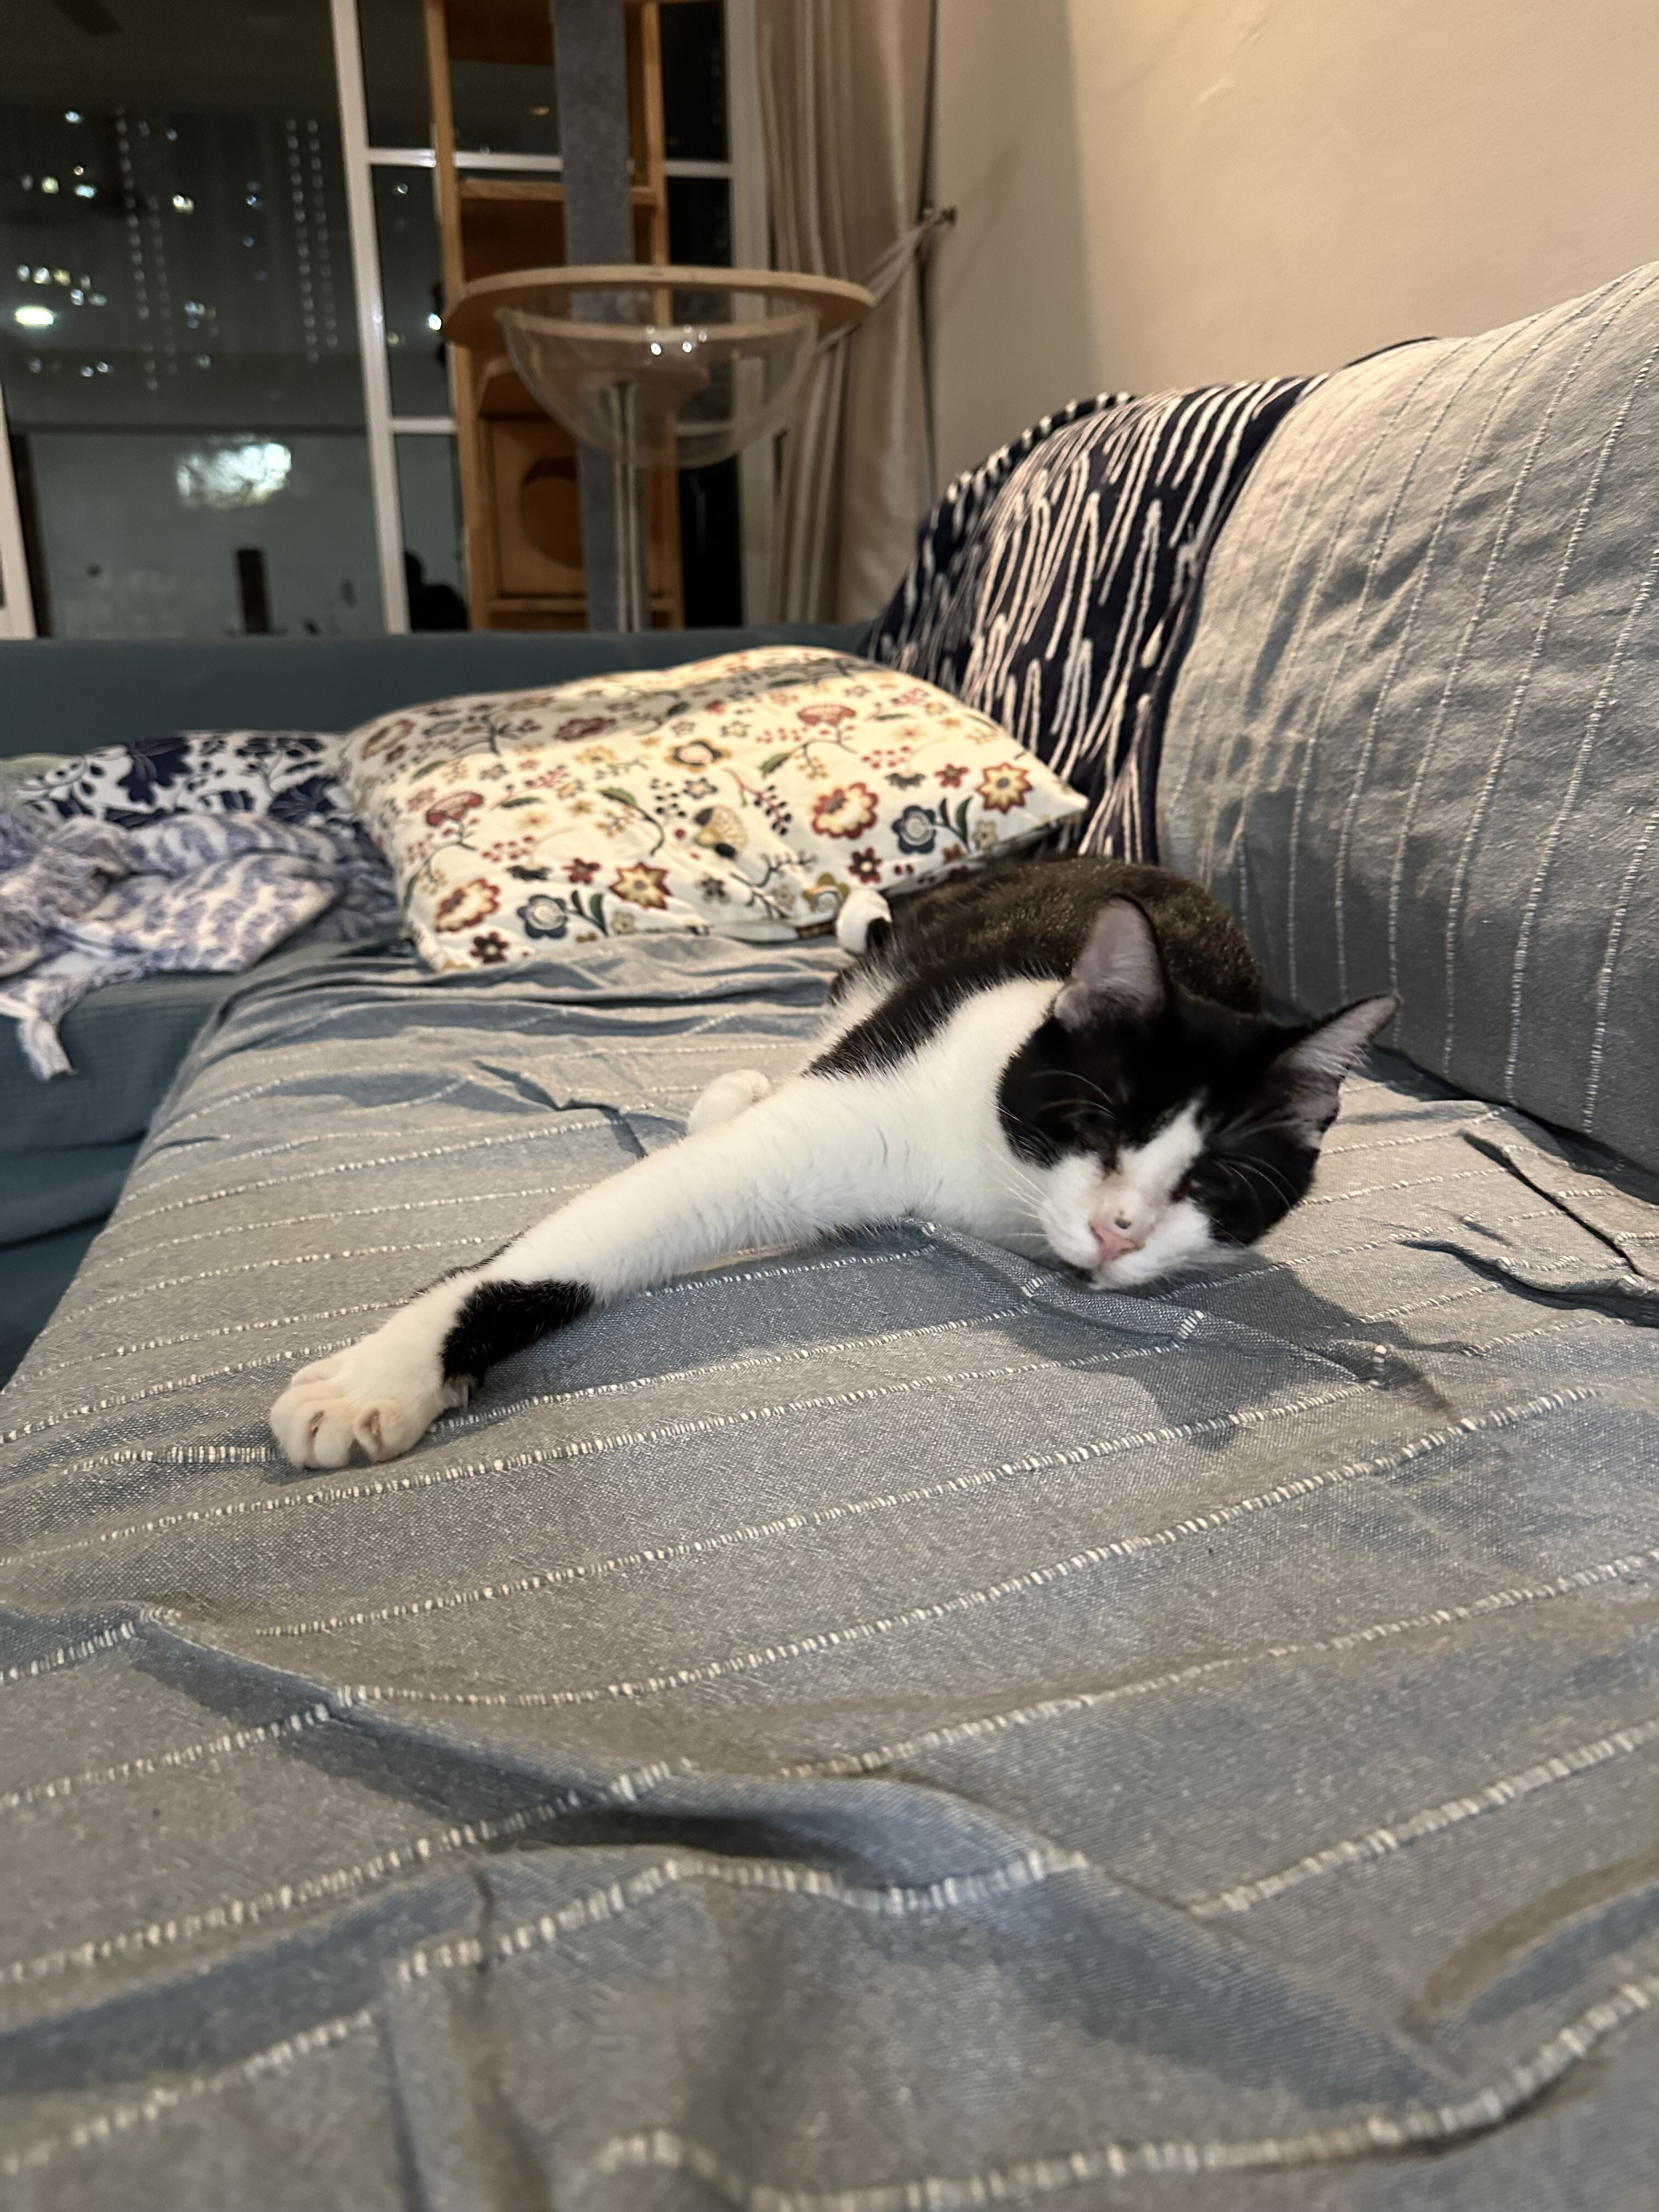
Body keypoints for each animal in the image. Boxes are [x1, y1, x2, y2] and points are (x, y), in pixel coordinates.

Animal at [270, 858, 1395, 1469]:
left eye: (1210, 1186)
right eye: (1096, 1122)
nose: (1121, 1230)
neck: (998, 1187)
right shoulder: (883, 1092)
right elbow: (584, 1240)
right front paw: (383, 1375)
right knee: (863, 952)